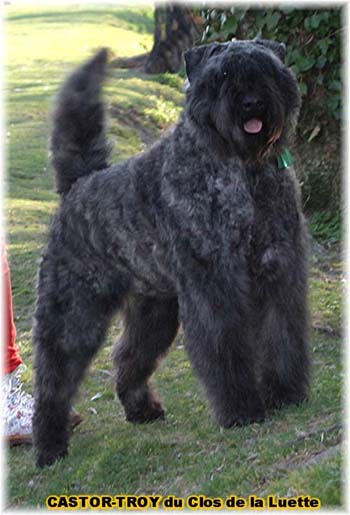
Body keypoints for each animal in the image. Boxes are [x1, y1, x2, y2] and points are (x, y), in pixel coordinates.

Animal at [32, 40, 308, 468]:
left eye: (265, 69)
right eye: (221, 76)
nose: (251, 103)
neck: (242, 170)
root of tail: (77, 186)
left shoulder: (277, 268)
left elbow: (282, 334)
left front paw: (285, 394)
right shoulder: (214, 282)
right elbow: (225, 344)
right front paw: (242, 410)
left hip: (155, 309)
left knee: (129, 356)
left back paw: (142, 410)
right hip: (75, 312)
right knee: (54, 376)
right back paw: (48, 446)